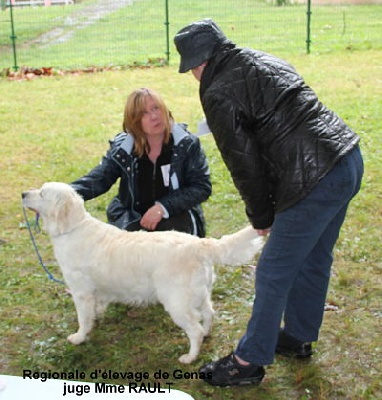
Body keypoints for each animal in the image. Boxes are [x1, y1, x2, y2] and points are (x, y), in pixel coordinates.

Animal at [22, 183, 264, 364]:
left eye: (42, 193)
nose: (23, 193)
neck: (72, 228)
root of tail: (198, 243)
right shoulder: (95, 291)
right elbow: (95, 309)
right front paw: (96, 318)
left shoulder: (81, 292)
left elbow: (83, 318)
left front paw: (79, 337)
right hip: (200, 293)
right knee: (209, 313)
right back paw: (206, 334)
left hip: (176, 302)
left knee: (194, 330)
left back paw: (190, 357)